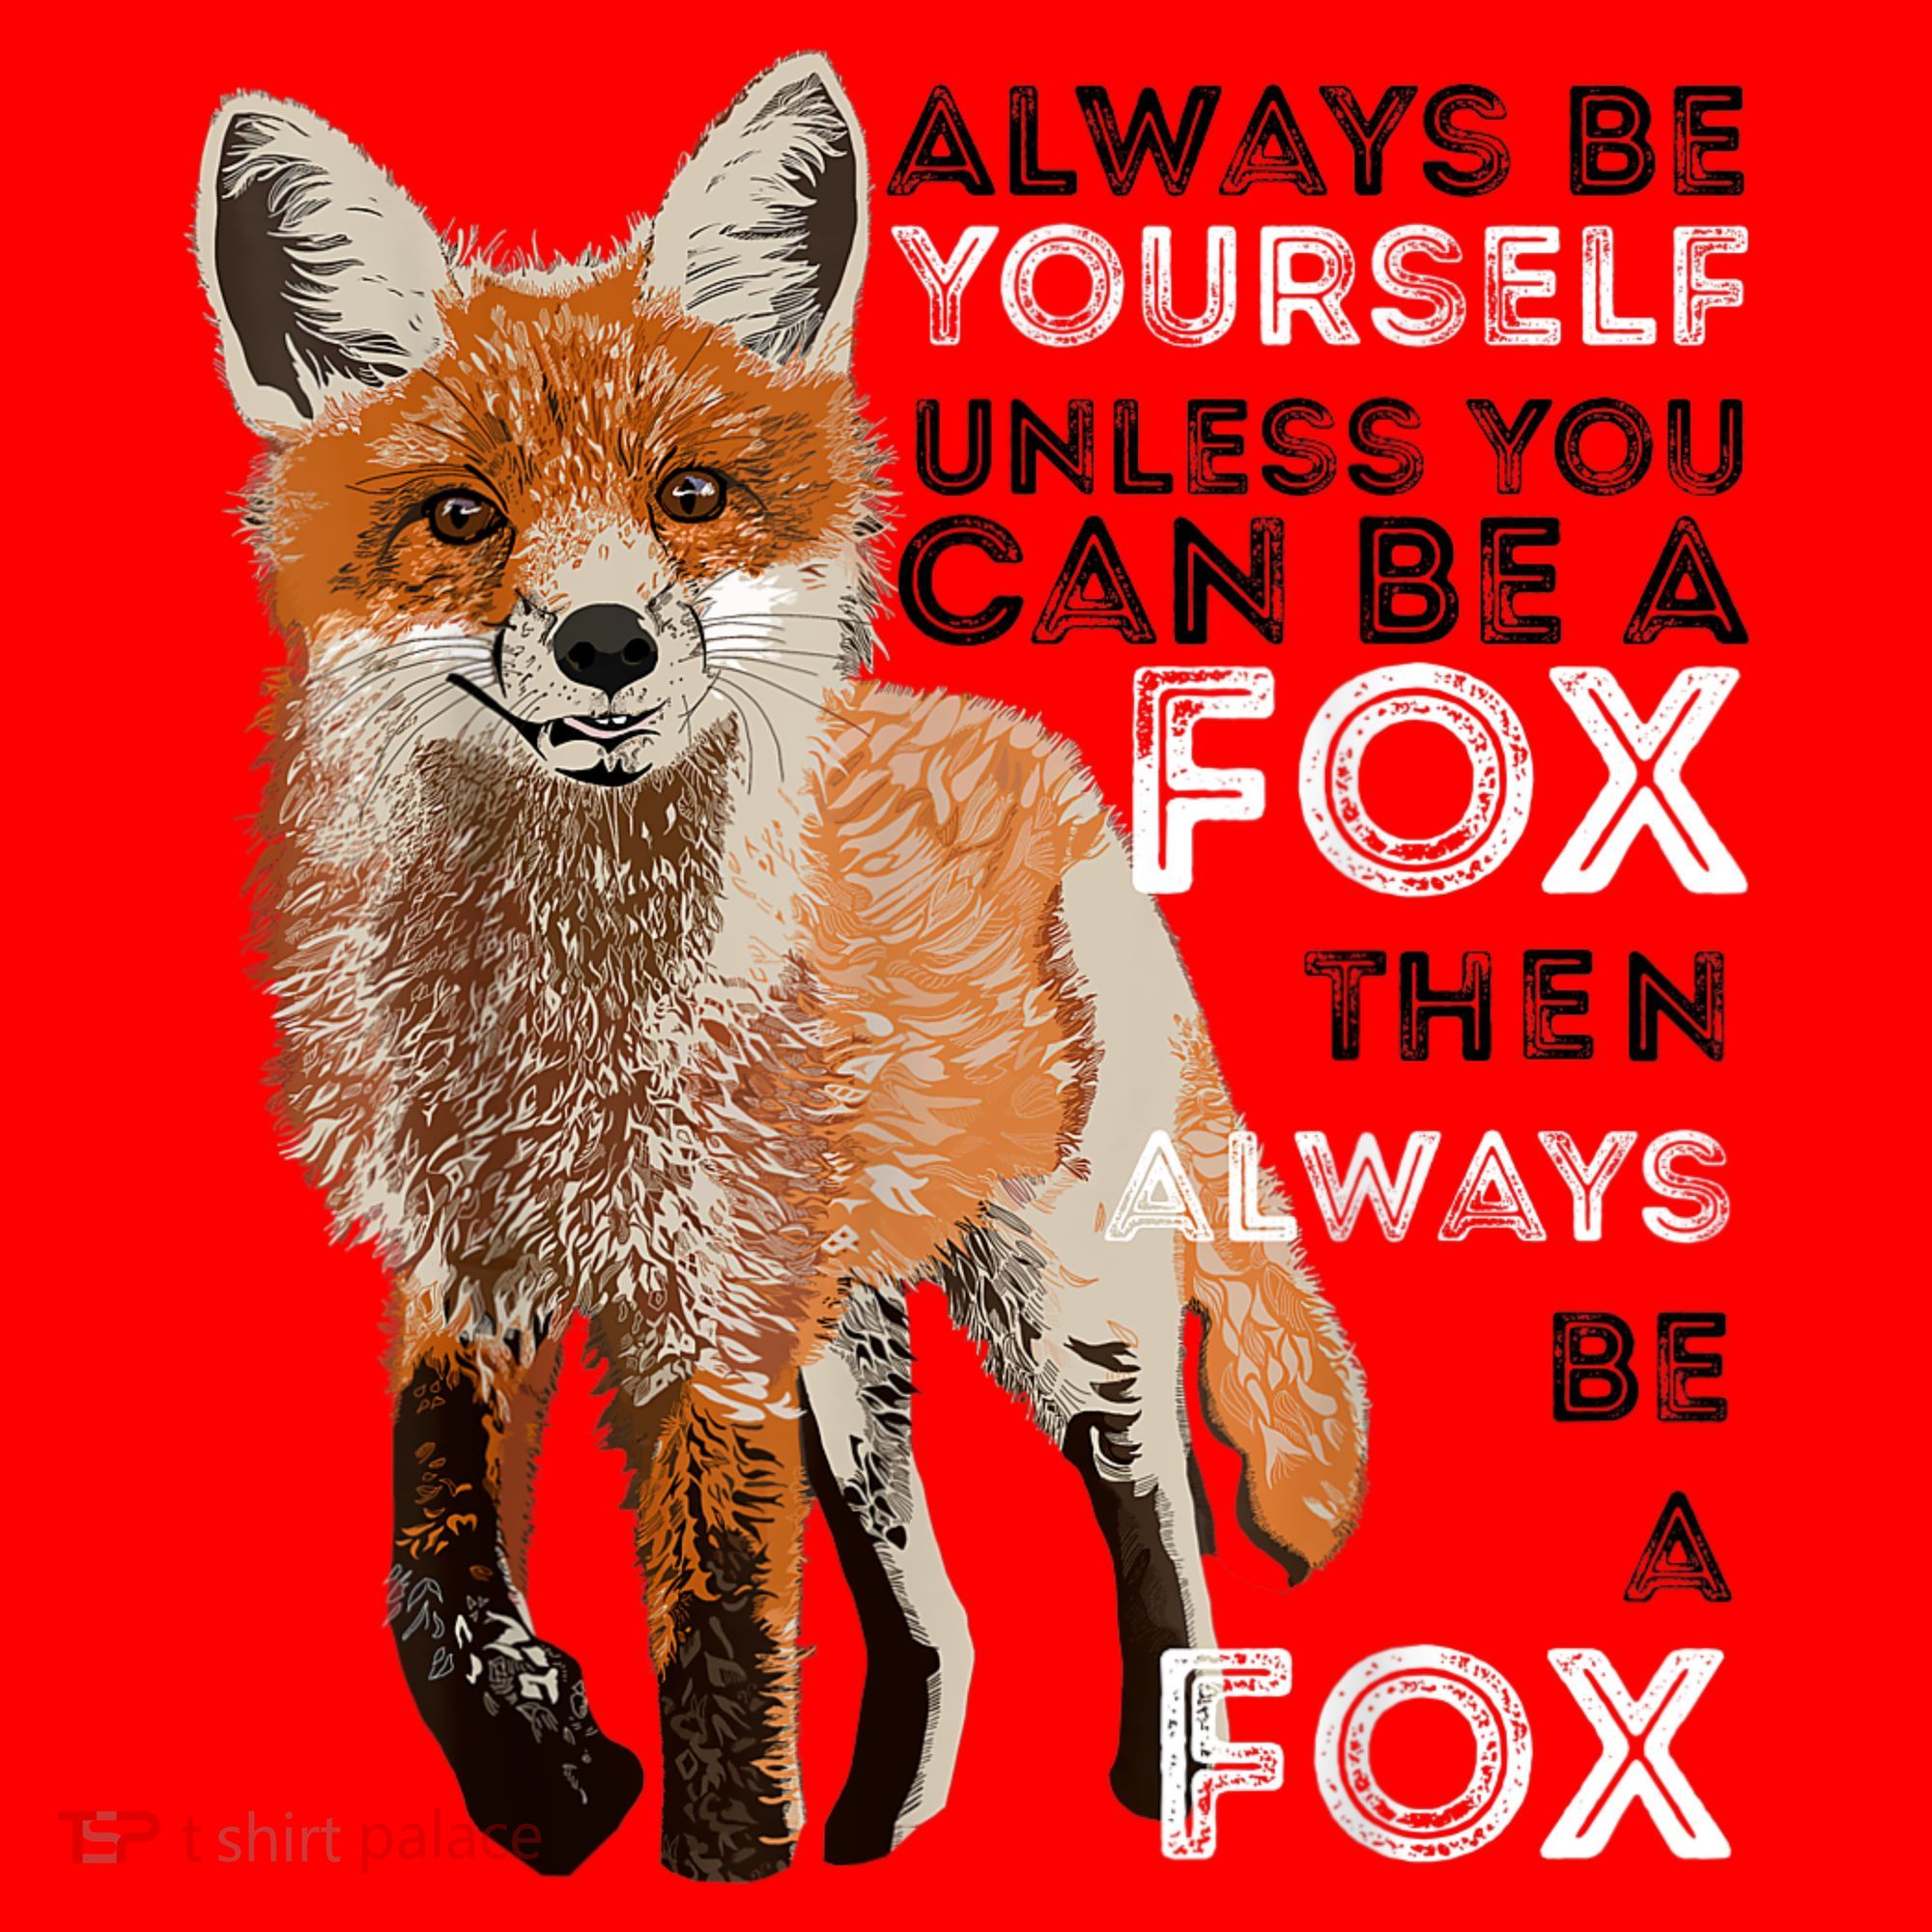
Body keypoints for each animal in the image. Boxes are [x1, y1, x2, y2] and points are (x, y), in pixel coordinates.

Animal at [197, 53, 1367, 1882]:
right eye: (462, 517)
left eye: (689, 496)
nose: (607, 645)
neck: (558, 1019)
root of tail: (1059, 772)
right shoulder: (472, 1267)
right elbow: (426, 1579)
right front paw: (546, 1774)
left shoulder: (713, 1312)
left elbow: (727, 1644)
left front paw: (718, 1855)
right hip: (847, 1363)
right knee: (941, 1613)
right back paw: (884, 1823)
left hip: (1049, 1297)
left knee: (1157, 1492)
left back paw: (1169, 1768)